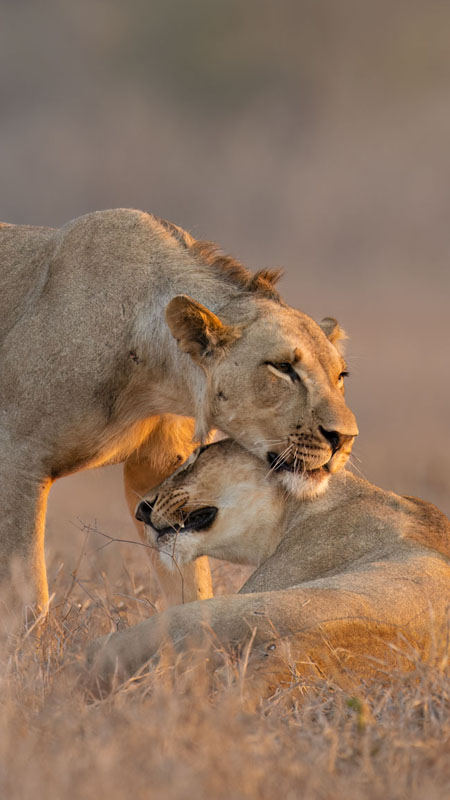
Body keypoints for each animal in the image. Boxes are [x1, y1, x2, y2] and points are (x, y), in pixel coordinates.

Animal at [0, 209, 357, 611]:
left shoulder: (156, 469)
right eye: (282, 367)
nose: (344, 439)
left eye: (340, 374)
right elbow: (28, 594)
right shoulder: (18, 460)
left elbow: (188, 579)